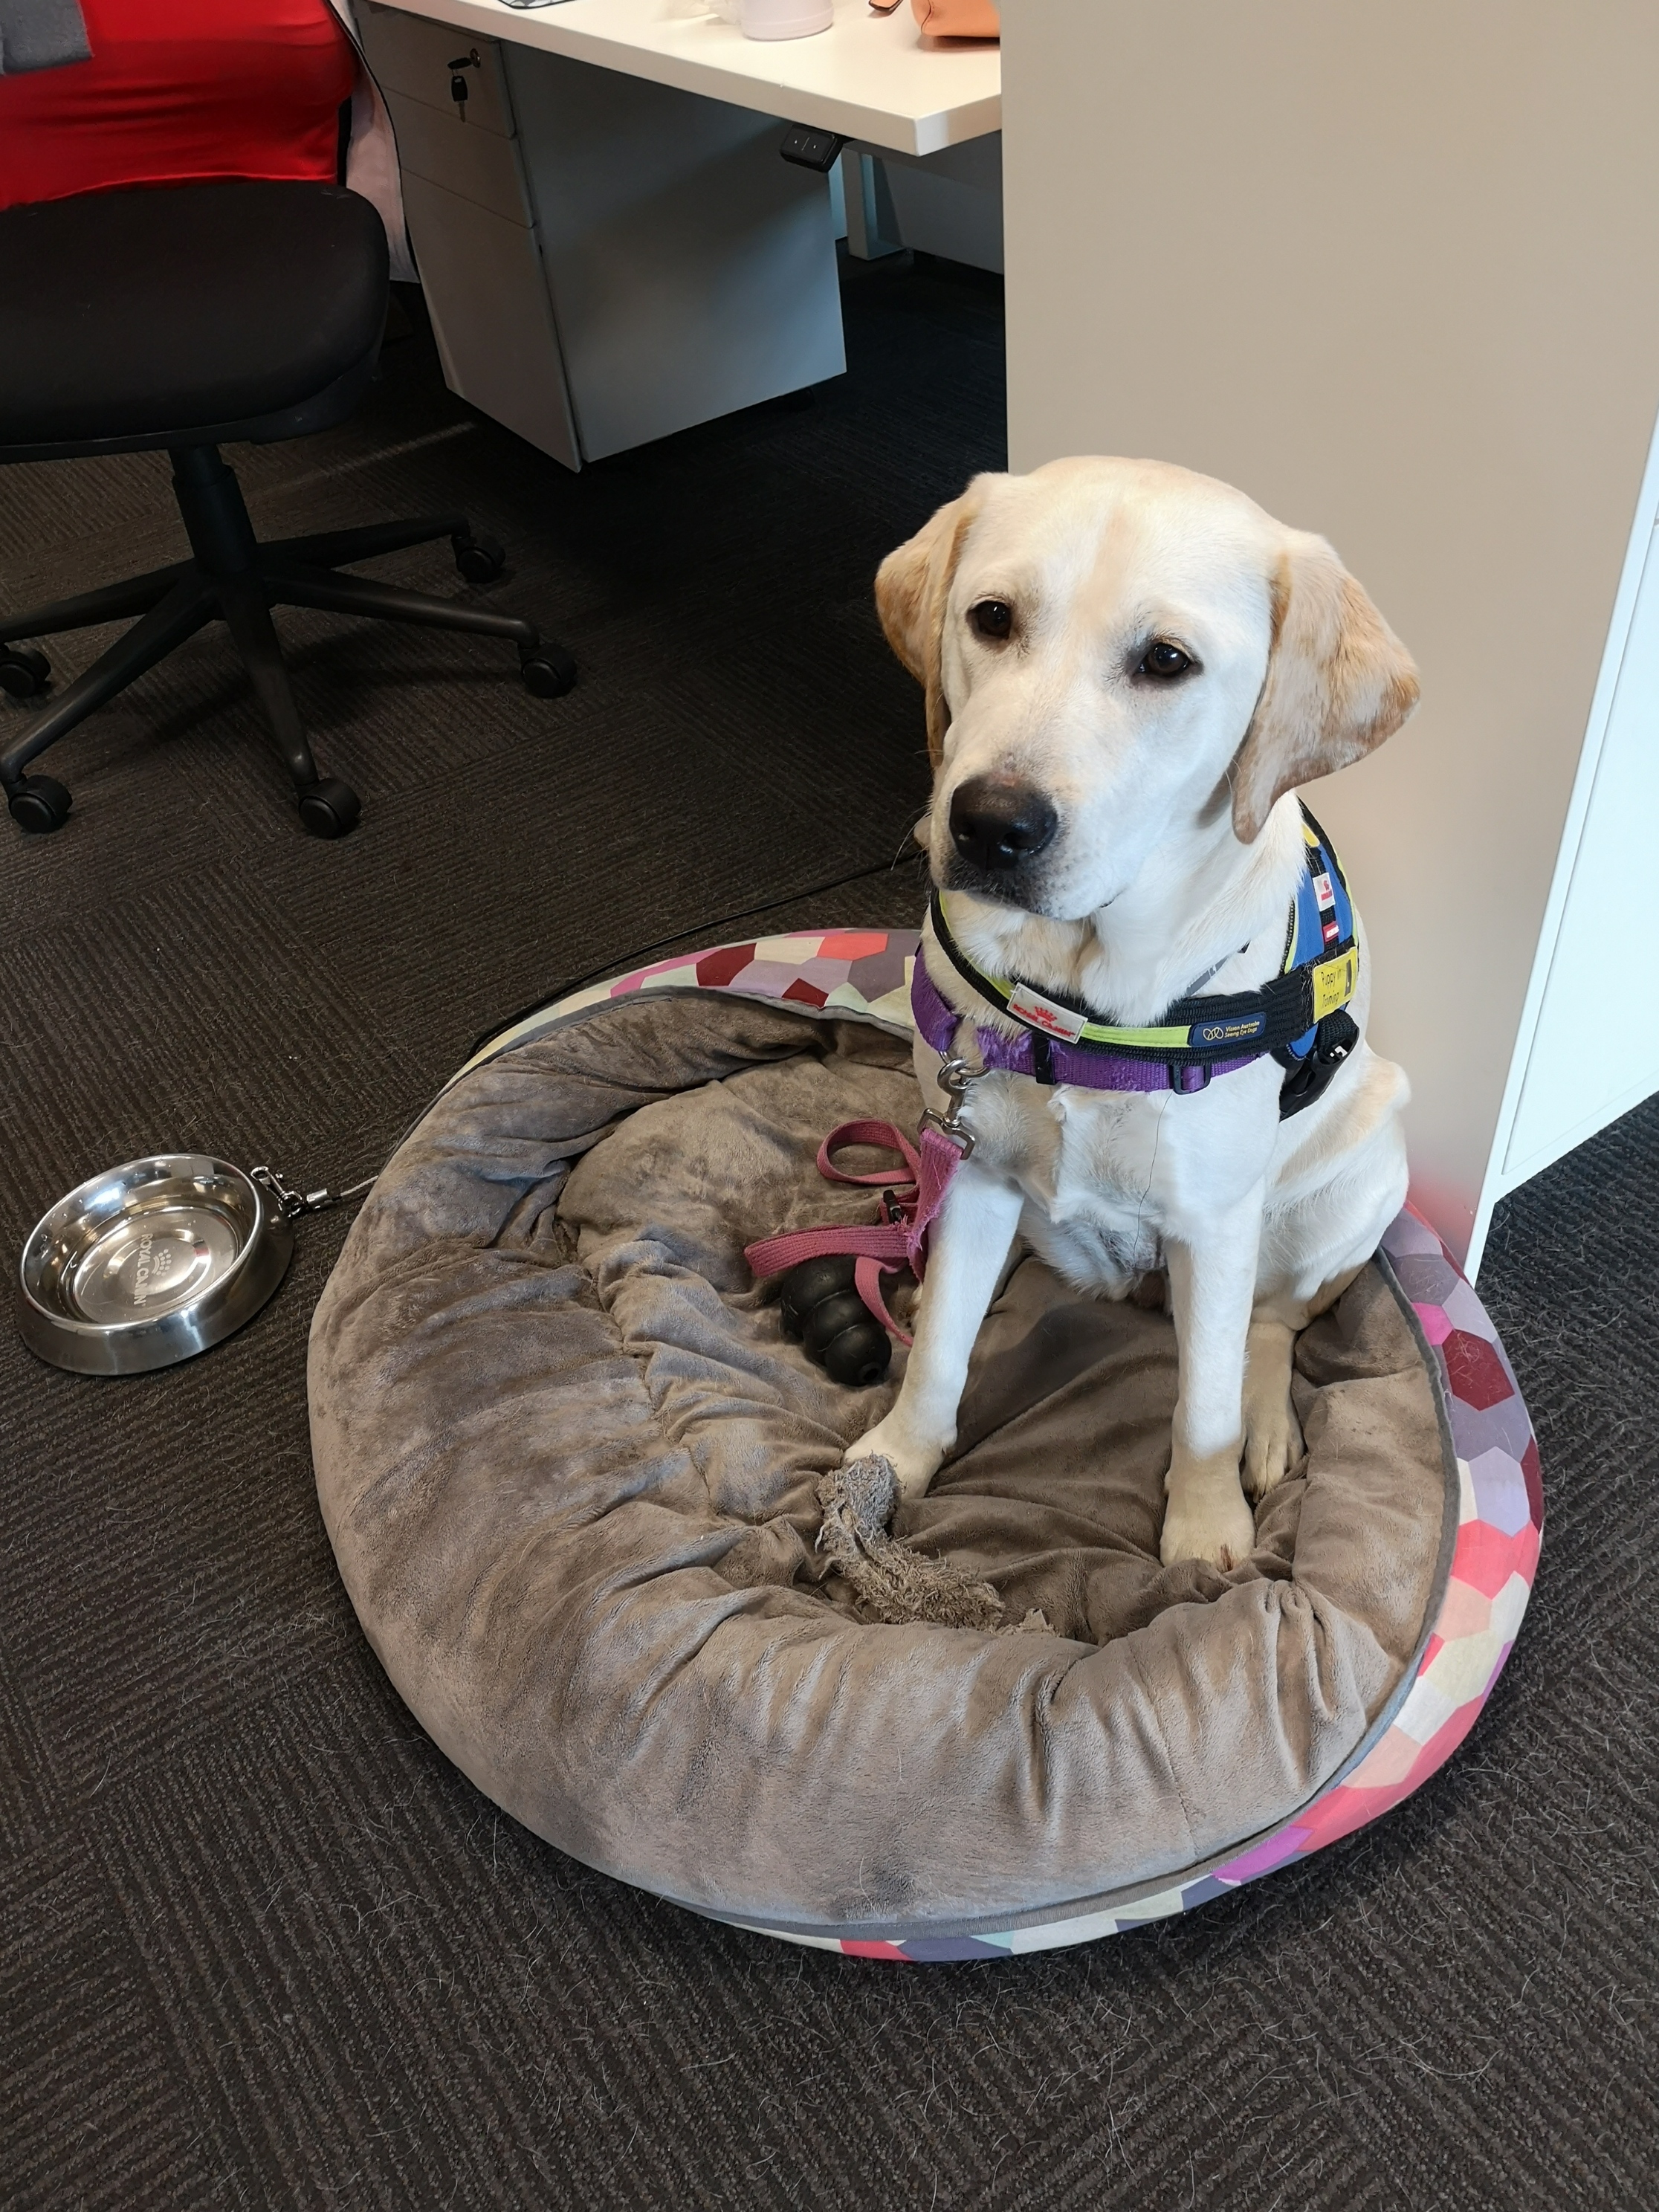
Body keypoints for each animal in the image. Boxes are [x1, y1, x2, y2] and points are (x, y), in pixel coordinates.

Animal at [849, 458, 1424, 1574]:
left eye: (1167, 662)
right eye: (991, 618)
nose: (990, 825)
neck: (1077, 1002)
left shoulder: (1216, 1221)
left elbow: (1203, 1405)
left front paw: (1204, 1533)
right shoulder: (974, 1172)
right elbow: (939, 1351)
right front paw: (897, 1461)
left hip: (1360, 1174)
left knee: (1274, 1326)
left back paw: (1269, 1427)